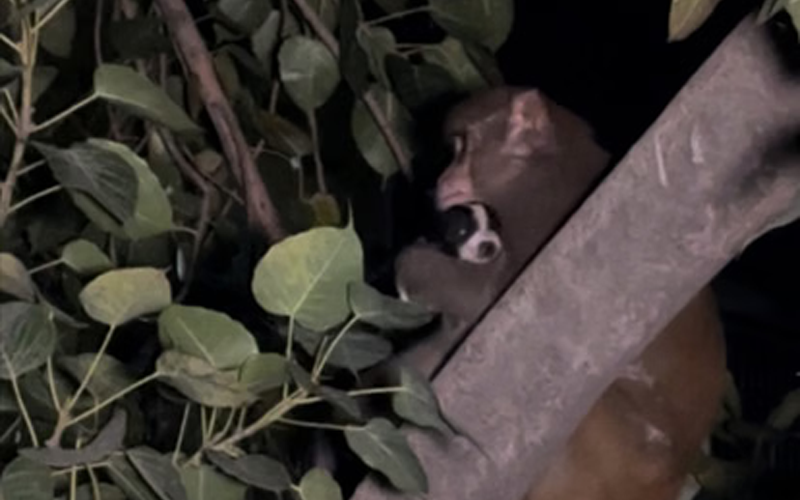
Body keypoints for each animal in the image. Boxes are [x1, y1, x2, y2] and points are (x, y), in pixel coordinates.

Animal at [394, 87, 727, 500]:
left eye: (462, 149)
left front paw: (411, 265)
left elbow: (490, 299)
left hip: (620, 453)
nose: (443, 178)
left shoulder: (540, 206)